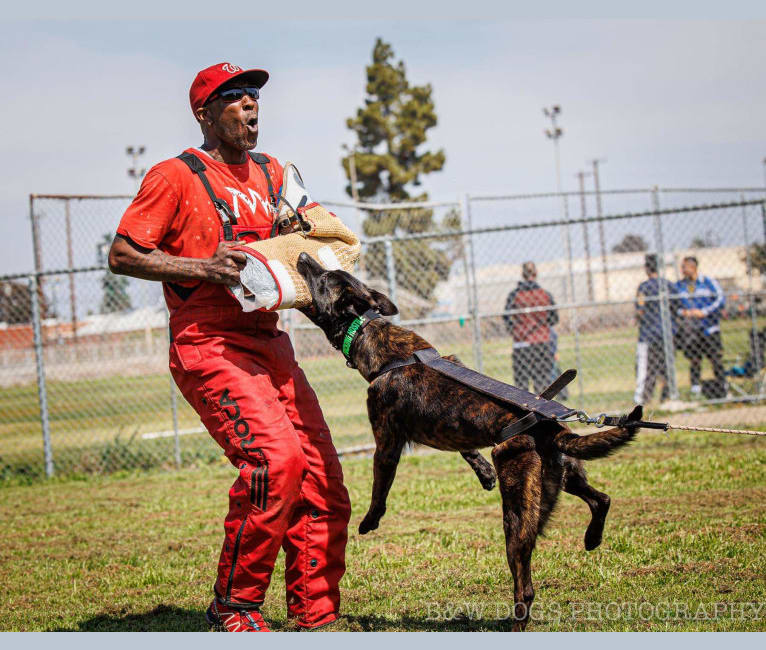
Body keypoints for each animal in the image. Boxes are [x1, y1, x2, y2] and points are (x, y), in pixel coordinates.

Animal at [296, 251, 644, 624]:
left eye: (324, 279)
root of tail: (553, 429)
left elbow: (379, 489)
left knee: (526, 587)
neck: (372, 333)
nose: (302, 255)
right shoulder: (450, 428)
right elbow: (466, 448)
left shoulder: (386, 443)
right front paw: (483, 472)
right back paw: (592, 538)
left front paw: (369, 521)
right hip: (566, 477)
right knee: (602, 499)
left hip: (517, 512)